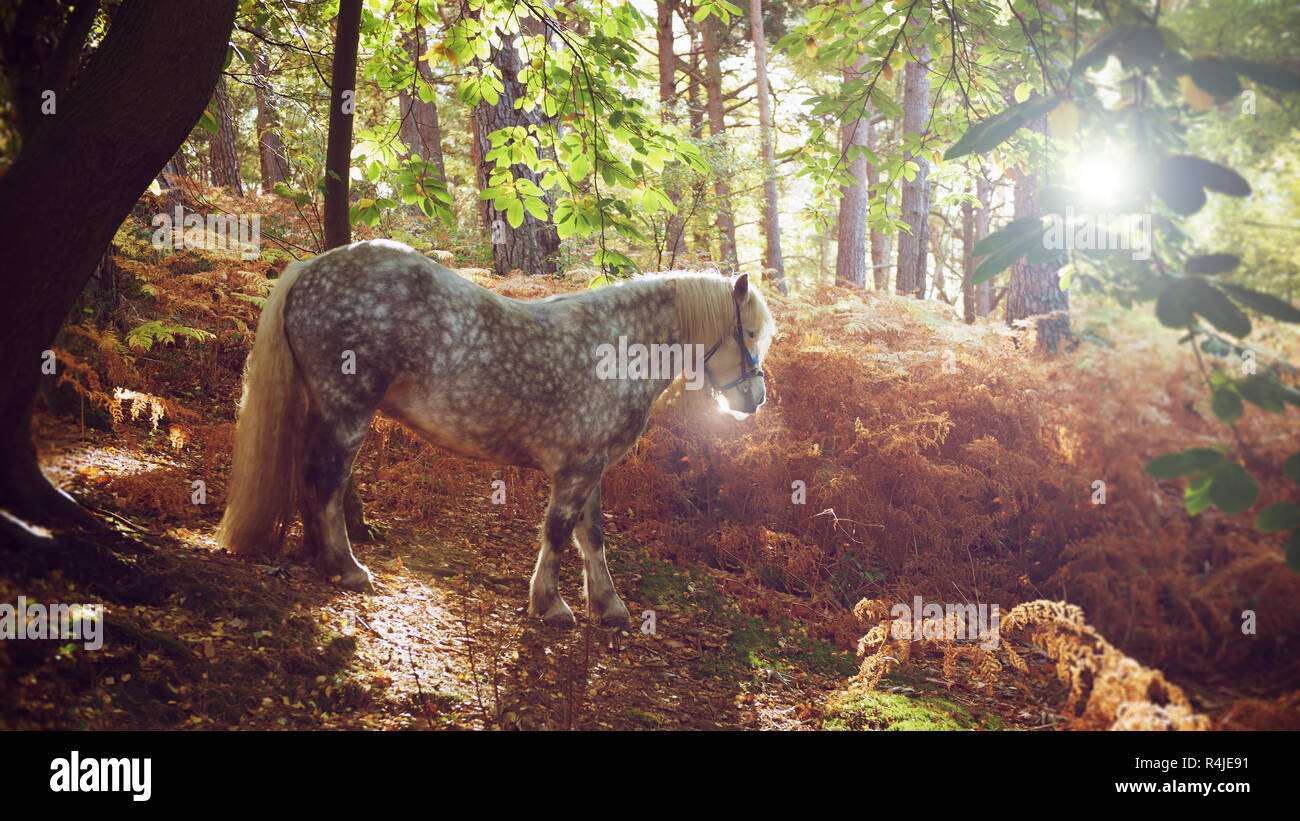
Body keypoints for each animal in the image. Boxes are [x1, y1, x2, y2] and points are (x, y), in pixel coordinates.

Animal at [215, 237, 769, 628]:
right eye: (750, 333)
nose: (756, 399)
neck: (617, 349)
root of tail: (309, 268)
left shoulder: (589, 467)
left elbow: (591, 535)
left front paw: (608, 606)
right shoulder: (576, 470)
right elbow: (559, 532)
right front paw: (550, 605)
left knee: (309, 478)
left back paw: (319, 557)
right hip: (348, 413)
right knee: (328, 480)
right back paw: (346, 567)